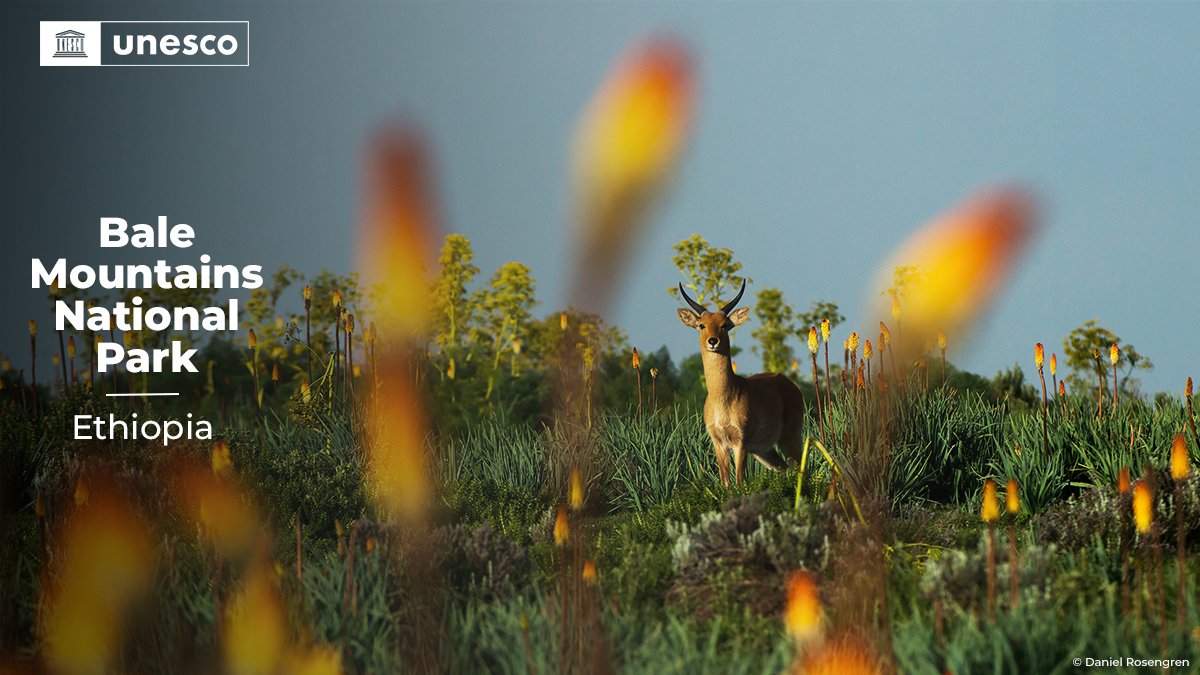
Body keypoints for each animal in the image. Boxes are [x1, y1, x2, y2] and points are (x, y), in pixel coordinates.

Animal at [676, 278, 806, 482]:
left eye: (724, 325)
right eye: (702, 325)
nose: (713, 341)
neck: (723, 398)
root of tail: (789, 383)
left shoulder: (741, 442)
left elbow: (739, 482)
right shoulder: (718, 443)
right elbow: (726, 483)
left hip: (790, 438)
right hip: (763, 450)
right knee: (784, 469)